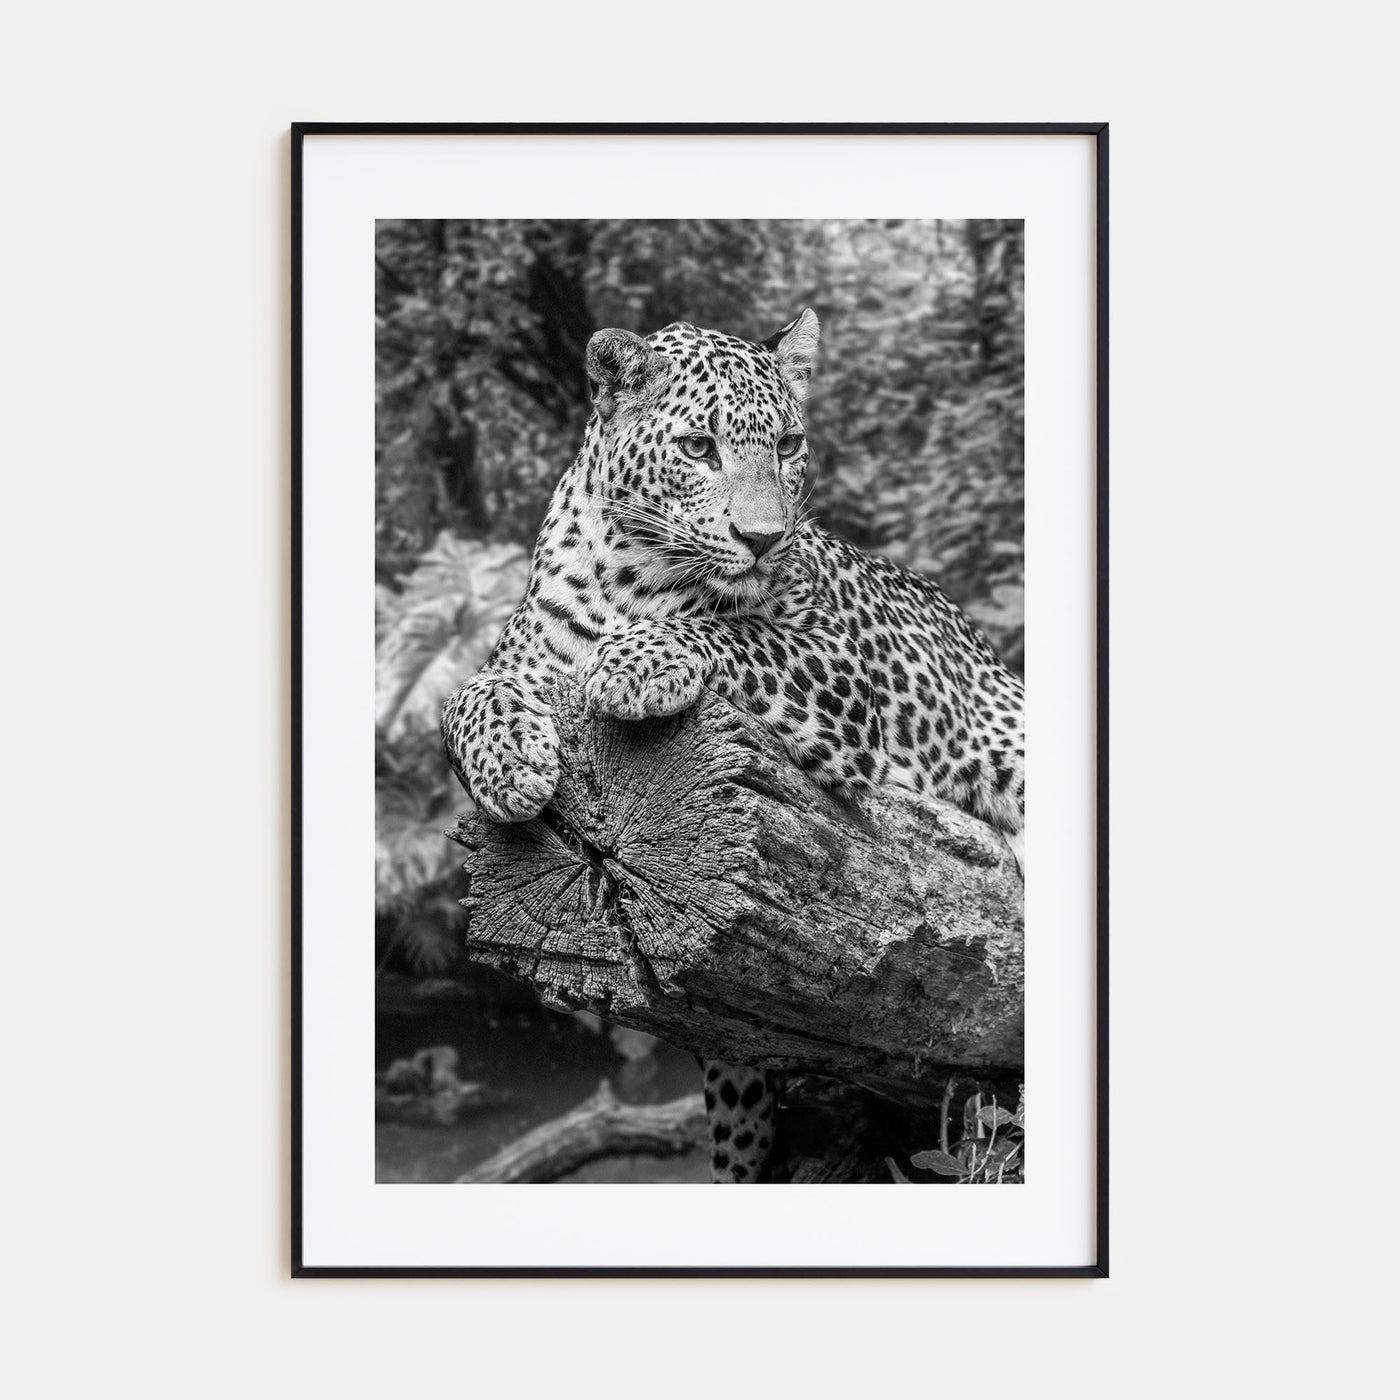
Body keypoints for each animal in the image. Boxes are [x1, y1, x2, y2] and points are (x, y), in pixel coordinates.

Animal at [442, 309, 1024, 1183]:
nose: (763, 538)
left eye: (787, 443)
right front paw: (509, 763)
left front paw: (633, 664)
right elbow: (465, 697)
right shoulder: (517, 660)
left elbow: (733, 632)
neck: (633, 577)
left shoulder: (836, 664)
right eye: (697, 448)